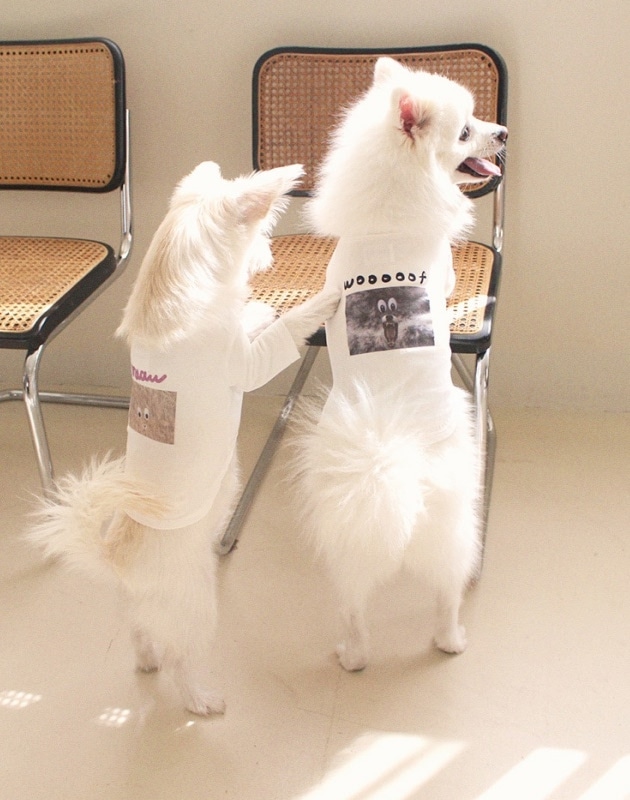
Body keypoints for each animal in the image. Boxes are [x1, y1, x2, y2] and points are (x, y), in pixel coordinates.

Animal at [28, 161, 339, 714]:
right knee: (181, 660)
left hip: (136, 613)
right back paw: (202, 699)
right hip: (197, 607)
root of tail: (117, 561)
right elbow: (283, 331)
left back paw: (147, 660)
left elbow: (250, 318)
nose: (270, 255)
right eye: (262, 233)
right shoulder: (247, 366)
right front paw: (319, 298)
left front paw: (255, 309)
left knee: (141, 638)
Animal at [293, 57, 507, 671]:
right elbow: (451, 283)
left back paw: (354, 655)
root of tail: (391, 455)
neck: (386, 223)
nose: (504, 132)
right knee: (448, 594)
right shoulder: (445, 271)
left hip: (347, 542)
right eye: (466, 131)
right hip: (456, 526)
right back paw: (450, 639)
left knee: (354, 603)